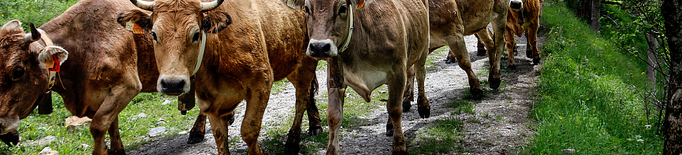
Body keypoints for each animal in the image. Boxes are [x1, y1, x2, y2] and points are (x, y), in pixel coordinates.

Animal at [119, 0, 322, 154]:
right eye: (154, 34)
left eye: (196, 34)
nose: (172, 84)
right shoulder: (209, 100)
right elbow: (219, 136)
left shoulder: (262, 83)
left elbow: (249, 129)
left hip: (305, 64)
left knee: (301, 99)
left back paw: (294, 140)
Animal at [282, 0, 430, 153]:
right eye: (306, 8)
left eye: (342, 8)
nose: (318, 47)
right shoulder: (334, 77)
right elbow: (333, 116)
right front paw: (331, 150)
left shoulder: (398, 72)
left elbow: (395, 109)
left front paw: (399, 146)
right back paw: (390, 126)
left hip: (423, 47)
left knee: (420, 74)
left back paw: (423, 107)